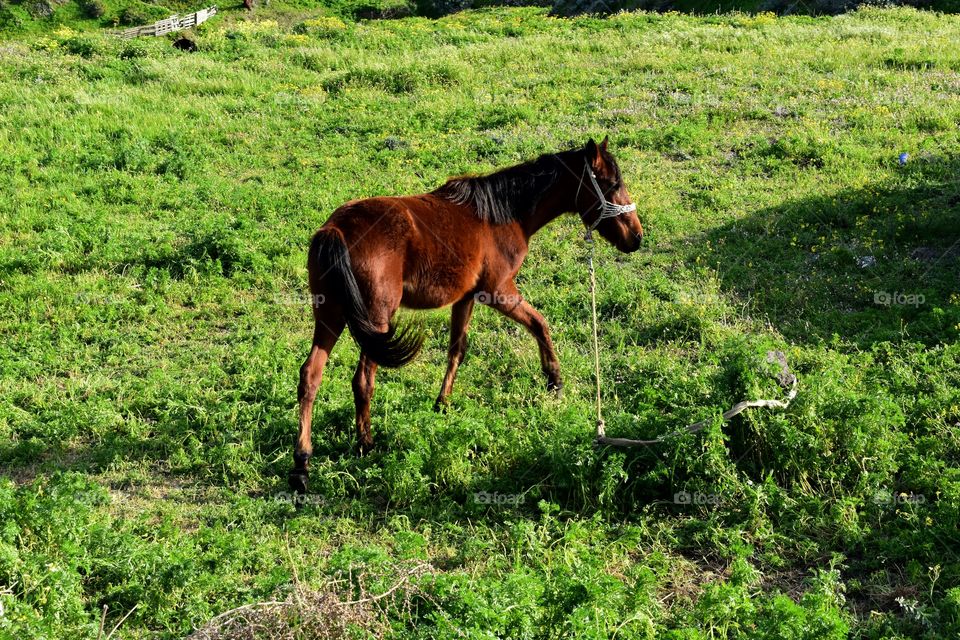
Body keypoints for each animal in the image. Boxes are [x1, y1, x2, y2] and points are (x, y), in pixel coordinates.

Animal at [289, 137, 643, 493]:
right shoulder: (499, 291)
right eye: (612, 184)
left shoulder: (466, 298)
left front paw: (442, 404)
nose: (637, 237)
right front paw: (554, 381)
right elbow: (540, 324)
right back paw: (366, 443)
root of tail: (336, 230)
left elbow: (456, 349)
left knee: (310, 376)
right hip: (375, 321)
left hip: (331, 317)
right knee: (362, 380)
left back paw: (302, 464)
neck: (501, 215)